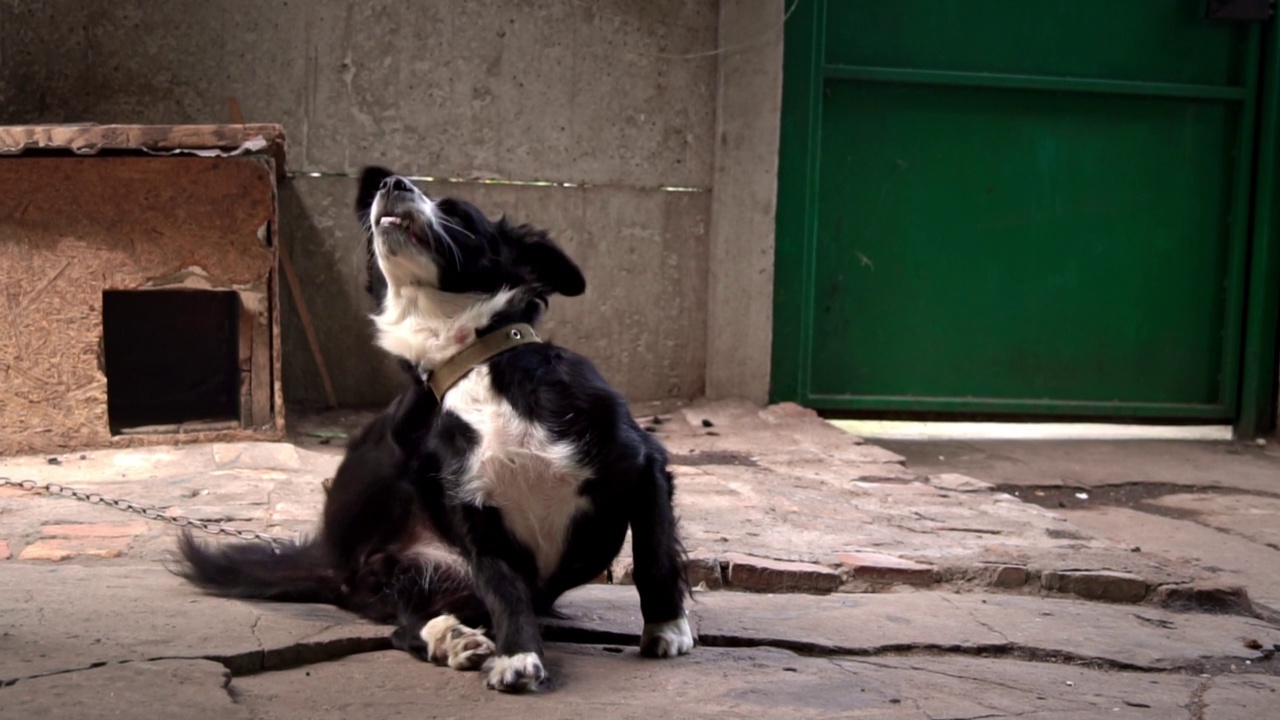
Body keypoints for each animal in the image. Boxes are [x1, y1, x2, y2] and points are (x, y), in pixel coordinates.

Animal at [176, 166, 696, 691]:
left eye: (457, 213)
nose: (390, 182)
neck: (472, 359)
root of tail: (333, 564)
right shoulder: (476, 515)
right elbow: (504, 588)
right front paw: (517, 655)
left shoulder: (642, 462)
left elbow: (653, 553)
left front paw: (667, 627)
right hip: (399, 534)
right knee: (405, 624)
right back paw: (451, 638)